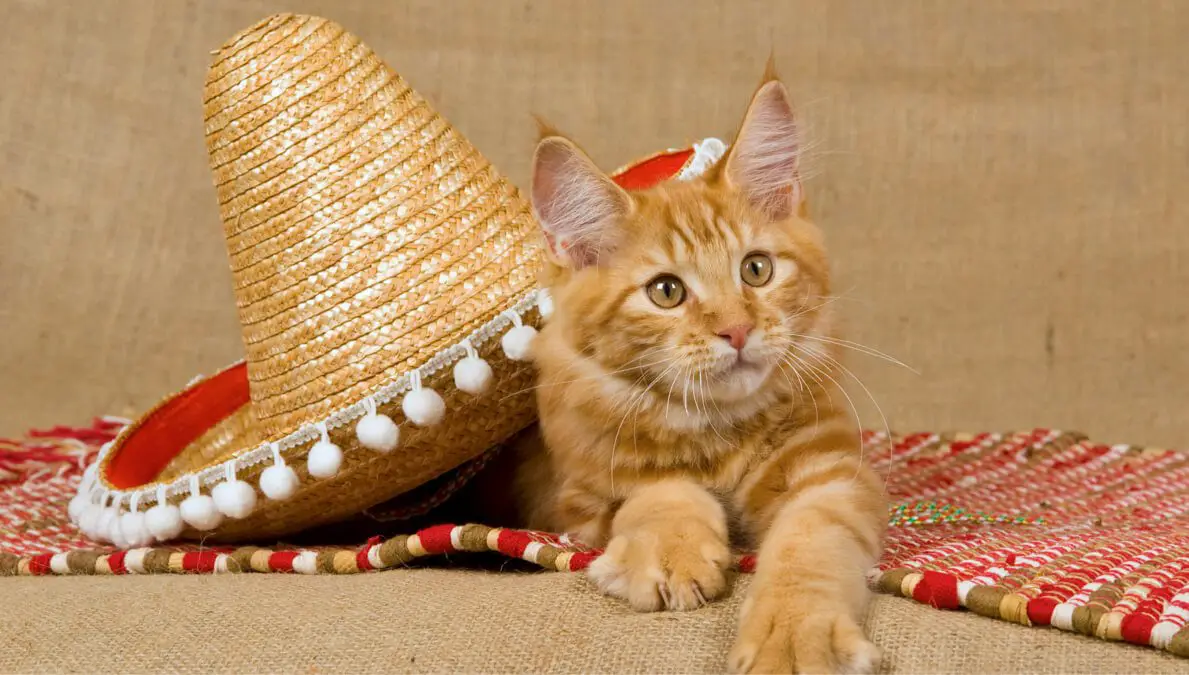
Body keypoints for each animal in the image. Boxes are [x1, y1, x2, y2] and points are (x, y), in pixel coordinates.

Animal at [518, 64, 884, 675]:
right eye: (666, 291)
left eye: (756, 270)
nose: (736, 330)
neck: (717, 432)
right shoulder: (575, 495)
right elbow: (660, 491)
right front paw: (674, 555)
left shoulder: (832, 472)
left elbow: (810, 542)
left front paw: (792, 637)